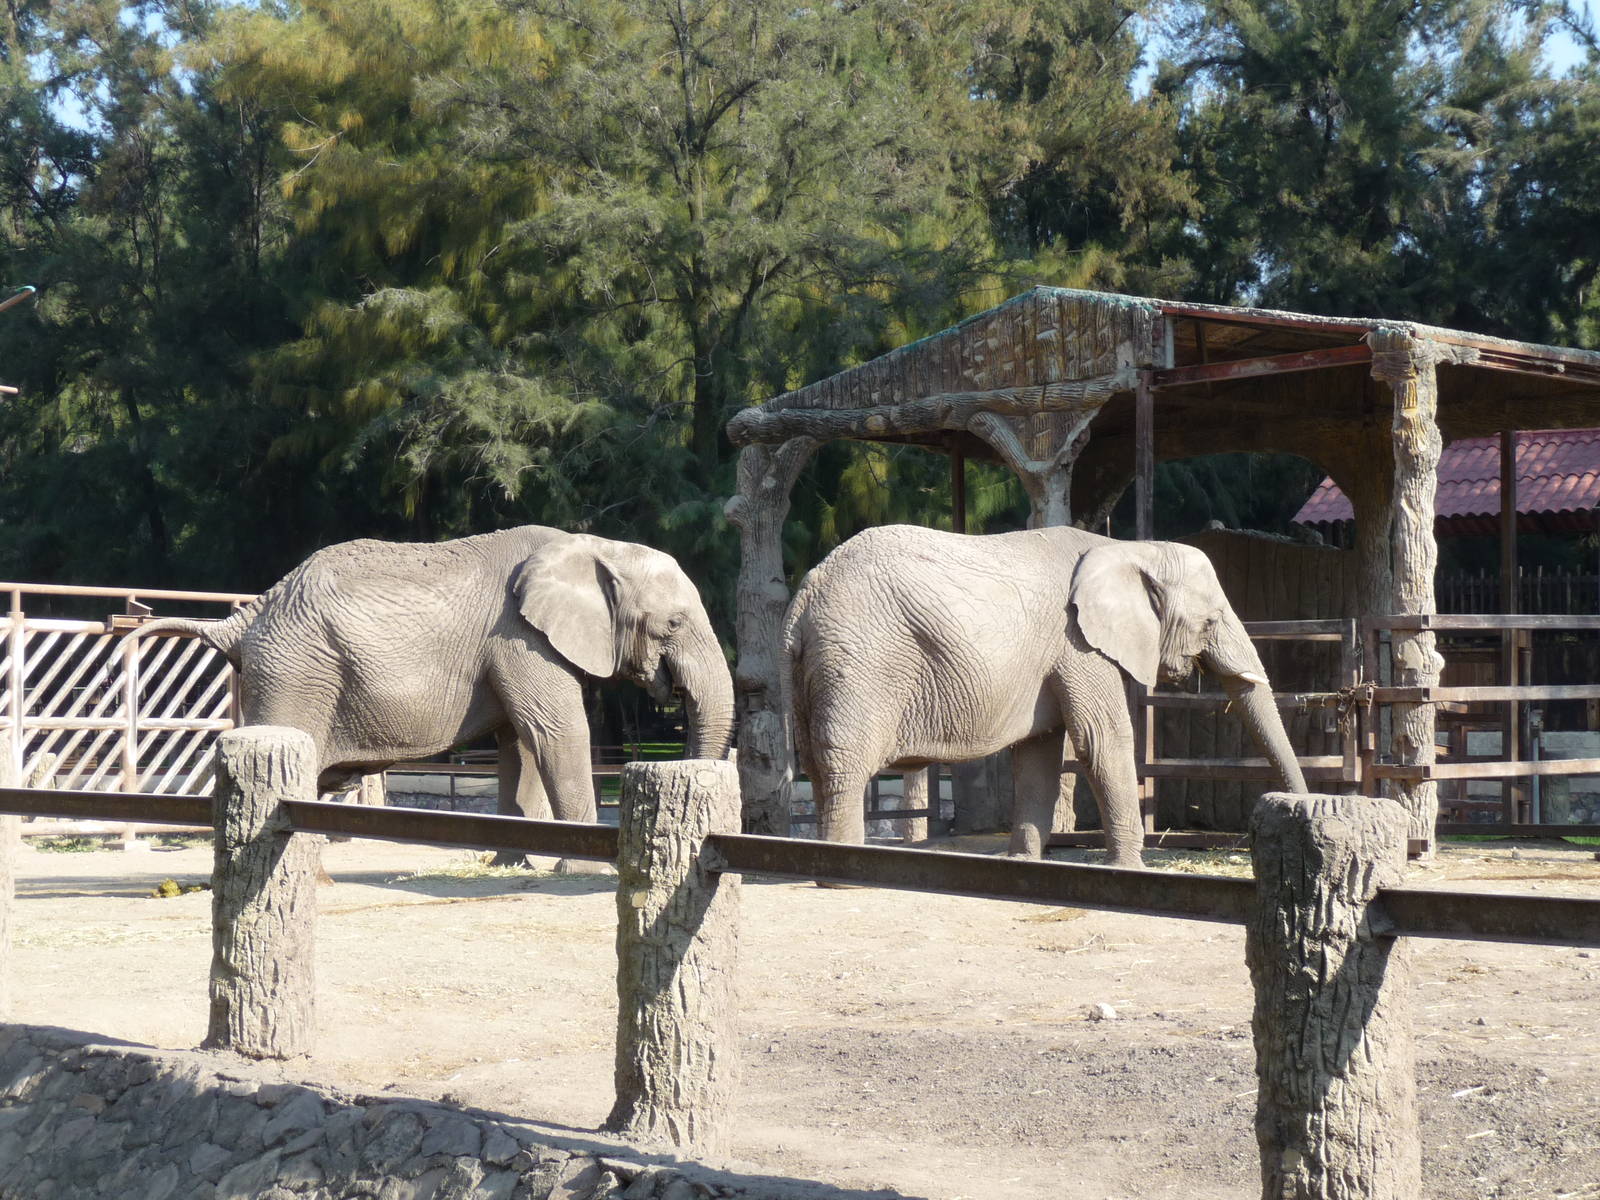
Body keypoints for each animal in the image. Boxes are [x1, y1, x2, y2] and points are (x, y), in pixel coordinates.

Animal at [127, 527, 735, 832]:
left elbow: (521, 744)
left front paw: (514, 859)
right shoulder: (521, 637)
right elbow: (556, 732)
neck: (597, 545)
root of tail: (247, 616)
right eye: (673, 624)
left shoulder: (514, 646)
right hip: (296, 673)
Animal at [781, 524, 1306, 867]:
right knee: (844, 764)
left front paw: (1022, 863)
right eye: (1211, 621)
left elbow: (1039, 753)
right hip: (860, 666)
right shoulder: (1078, 644)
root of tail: (804, 597)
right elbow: (1102, 740)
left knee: (815, 765)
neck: (1129, 548)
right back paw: (841, 875)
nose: (1294, 805)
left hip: (806, 673)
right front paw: (1130, 870)